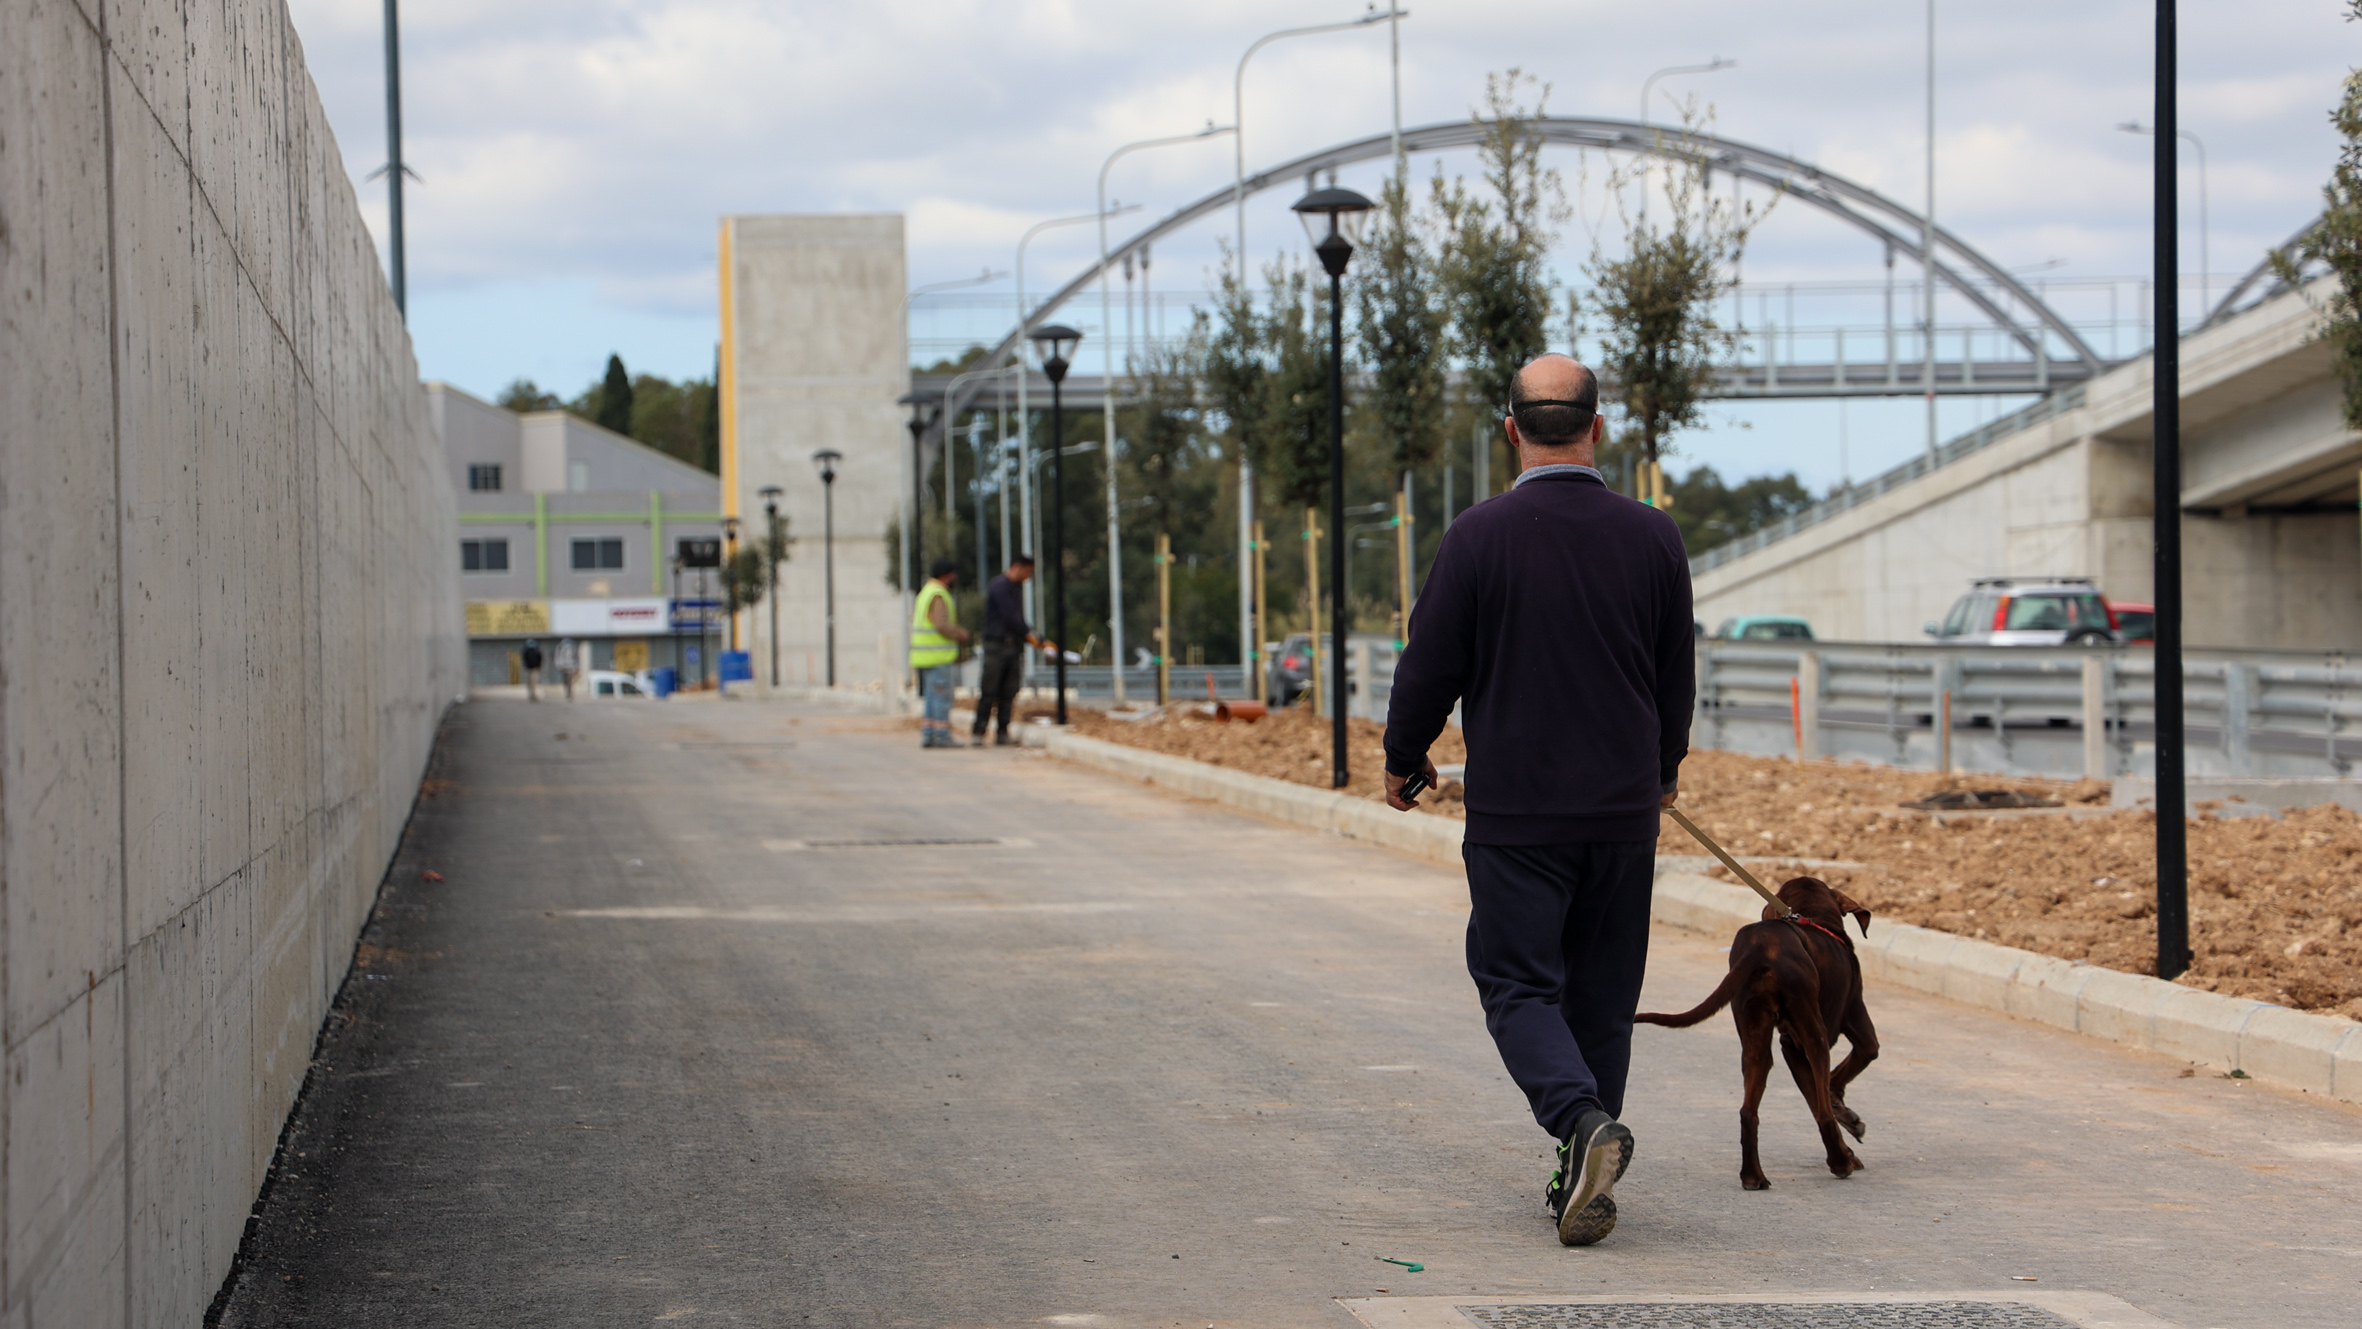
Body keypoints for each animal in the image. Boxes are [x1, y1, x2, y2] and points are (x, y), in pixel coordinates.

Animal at [1643, 878, 1880, 1189]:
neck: (1817, 919)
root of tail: (1760, 947)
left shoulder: (1789, 1047)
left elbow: (1817, 1097)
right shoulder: (1854, 1027)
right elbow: (1838, 1078)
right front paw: (1845, 1122)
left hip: (1753, 1033)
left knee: (1749, 1111)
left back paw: (1753, 1176)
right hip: (1813, 1034)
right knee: (1822, 1107)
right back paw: (1840, 1163)